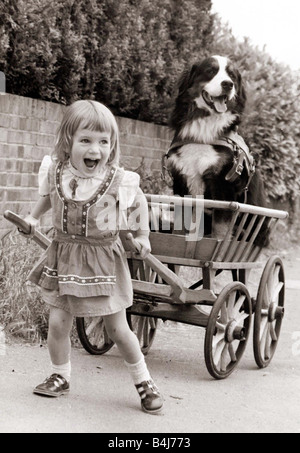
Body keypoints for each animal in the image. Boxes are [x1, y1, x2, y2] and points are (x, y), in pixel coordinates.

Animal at [165, 55, 268, 245]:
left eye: (232, 75)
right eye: (210, 71)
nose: (228, 84)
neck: (203, 133)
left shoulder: (223, 185)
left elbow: (220, 231)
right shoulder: (181, 181)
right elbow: (181, 226)